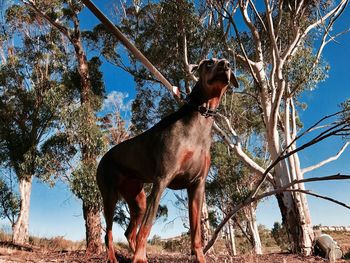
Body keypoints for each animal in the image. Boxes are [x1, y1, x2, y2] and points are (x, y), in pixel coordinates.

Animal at [97, 58, 239, 263]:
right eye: (209, 63)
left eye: (228, 62)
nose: (224, 65)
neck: (201, 115)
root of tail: (103, 158)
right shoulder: (162, 181)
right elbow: (146, 227)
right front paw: (139, 258)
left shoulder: (197, 185)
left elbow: (196, 232)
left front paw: (200, 258)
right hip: (110, 197)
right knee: (108, 232)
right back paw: (116, 258)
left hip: (137, 200)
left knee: (129, 232)